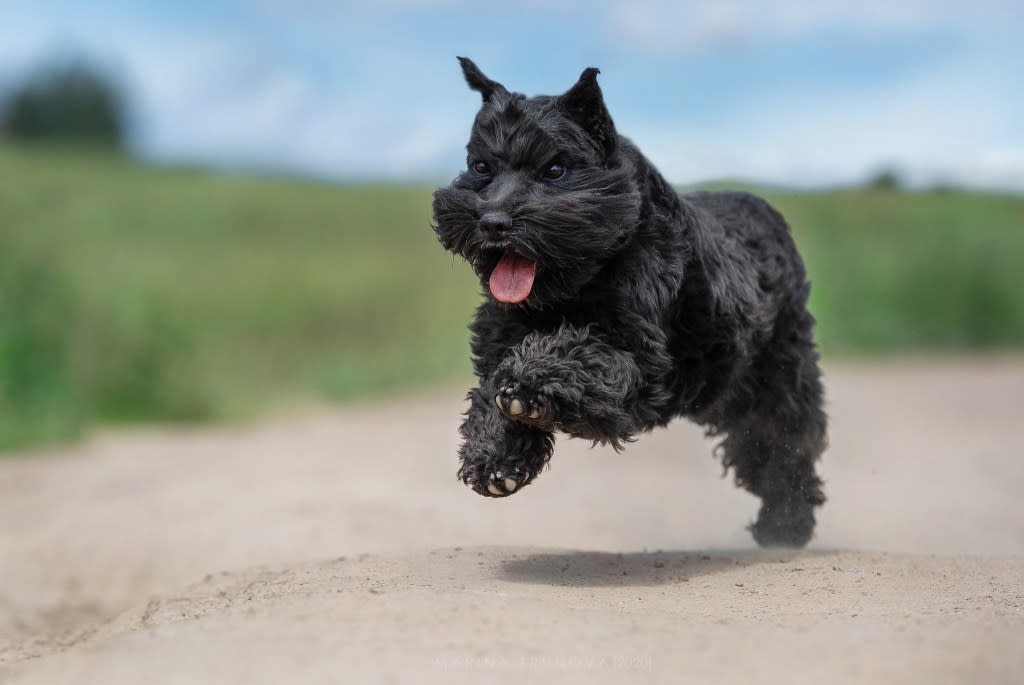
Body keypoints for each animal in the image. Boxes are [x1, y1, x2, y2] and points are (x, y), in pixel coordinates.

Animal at [430, 60, 823, 548]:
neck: (572, 286)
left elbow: (577, 353)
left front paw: (528, 385)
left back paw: (785, 524)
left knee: (788, 445)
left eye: (555, 168)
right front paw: (496, 457)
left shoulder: (638, 359)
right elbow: (489, 391)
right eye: (481, 166)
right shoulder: (497, 342)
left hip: (780, 375)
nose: (492, 222)